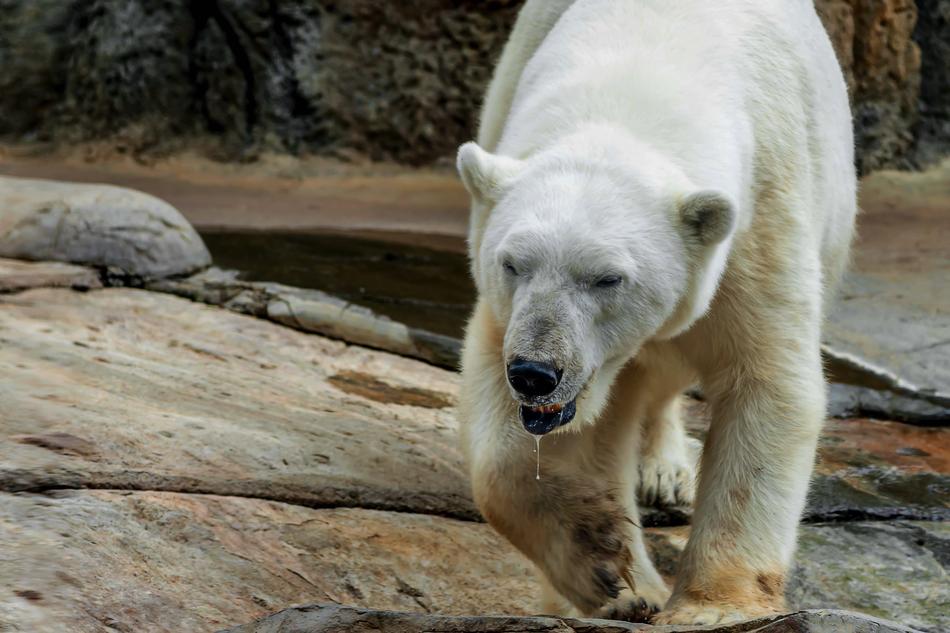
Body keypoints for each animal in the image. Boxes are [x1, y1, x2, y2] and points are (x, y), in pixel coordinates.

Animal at [456, 0, 856, 626]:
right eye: (512, 263)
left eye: (608, 278)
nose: (535, 372)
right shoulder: (508, 309)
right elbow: (513, 458)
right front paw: (612, 579)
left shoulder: (762, 216)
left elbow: (767, 383)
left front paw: (711, 608)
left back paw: (666, 471)